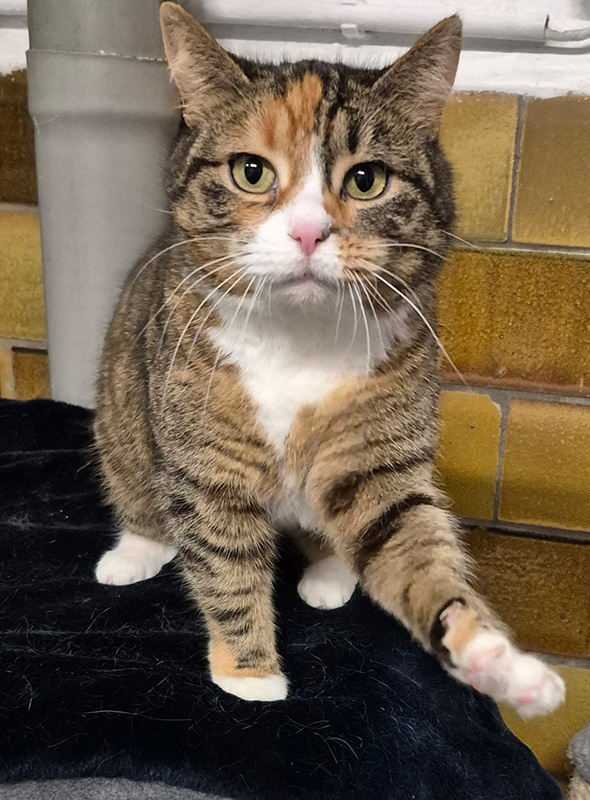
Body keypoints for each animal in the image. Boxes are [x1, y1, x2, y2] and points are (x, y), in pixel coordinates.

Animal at [94, 1, 565, 714]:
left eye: (366, 180)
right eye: (251, 171)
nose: (308, 232)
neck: (299, 341)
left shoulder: (378, 452)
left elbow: (410, 541)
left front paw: (494, 659)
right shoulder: (206, 459)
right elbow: (223, 560)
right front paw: (249, 676)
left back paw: (330, 573)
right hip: (124, 410)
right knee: (139, 487)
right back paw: (133, 552)